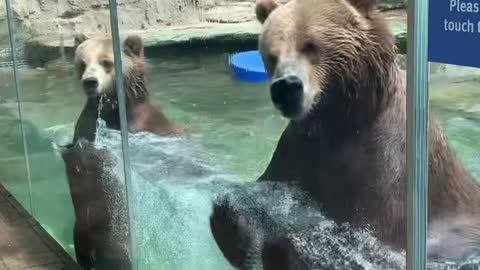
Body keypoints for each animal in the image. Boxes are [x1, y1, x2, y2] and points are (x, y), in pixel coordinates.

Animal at [211, 0, 480, 266]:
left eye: (310, 46)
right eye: (271, 55)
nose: (285, 87)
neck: (343, 121)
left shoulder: (387, 170)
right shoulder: (299, 151)